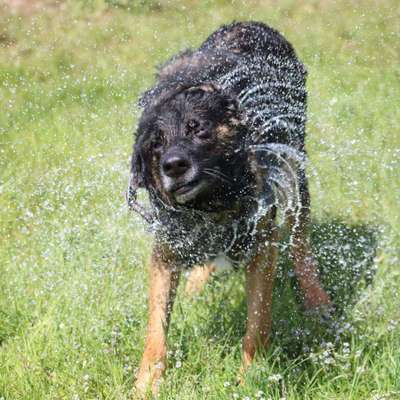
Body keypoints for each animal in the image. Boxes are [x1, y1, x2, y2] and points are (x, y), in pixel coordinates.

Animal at [128, 21, 332, 394]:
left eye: (198, 129)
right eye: (156, 143)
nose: (173, 165)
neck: (212, 203)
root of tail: (249, 23)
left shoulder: (261, 245)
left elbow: (258, 322)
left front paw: (250, 376)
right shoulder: (166, 249)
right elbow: (155, 329)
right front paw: (147, 383)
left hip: (296, 171)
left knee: (300, 242)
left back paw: (316, 298)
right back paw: (196, 284)